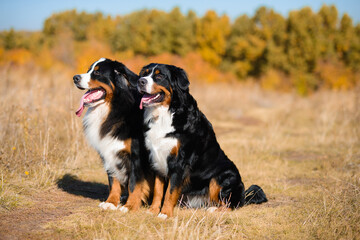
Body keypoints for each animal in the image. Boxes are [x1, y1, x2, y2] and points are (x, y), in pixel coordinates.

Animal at [72, 58, 153, 212]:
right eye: (88, 70)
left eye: (97, 72)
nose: (75, 78)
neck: (114, 108)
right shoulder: (108, 151)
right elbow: (113, 180)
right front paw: (111, 202)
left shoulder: (136, 155)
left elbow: (134, 183)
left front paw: (130, 206)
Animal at [136, 62, 266, 218]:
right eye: (144, 73)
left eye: (159, 76)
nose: (140, 81)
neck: (165, 114)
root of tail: (243, 196)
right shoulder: (157, 159)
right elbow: (158, 190)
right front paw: (153, 211)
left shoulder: (180, 161)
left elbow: (170, 192)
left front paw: (165, 214)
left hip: (222, 176)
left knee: (231, 204)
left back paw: (214, 209)